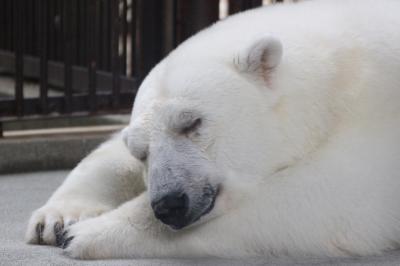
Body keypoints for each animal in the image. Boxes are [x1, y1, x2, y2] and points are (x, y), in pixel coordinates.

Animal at [26, 0, 400, 260]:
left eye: (193, 122)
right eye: (141, 152)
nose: (168, 203)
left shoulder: (375, 118)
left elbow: (331, 199)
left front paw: (87, 233)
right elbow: (110, 155)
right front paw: (58, 219)